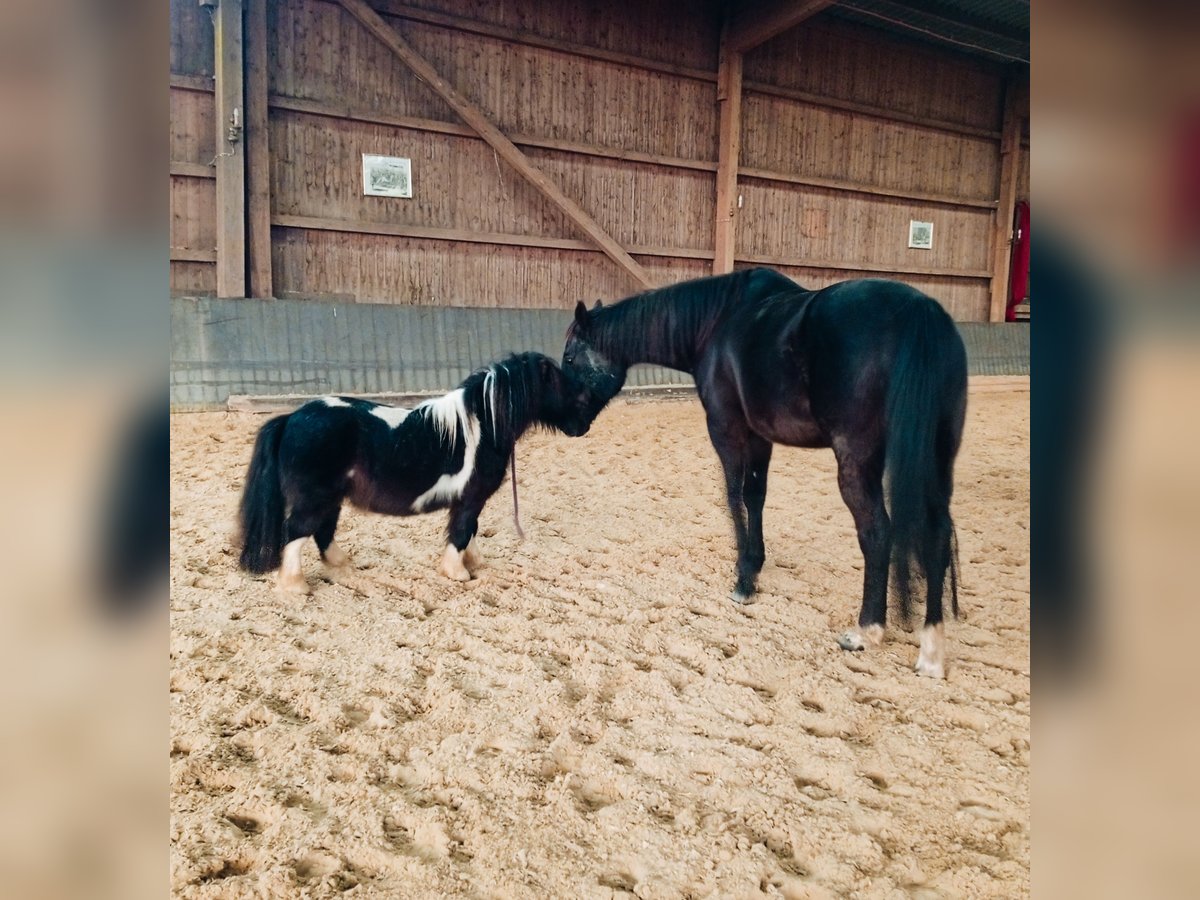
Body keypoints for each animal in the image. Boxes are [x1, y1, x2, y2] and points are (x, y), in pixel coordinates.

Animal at [236, 350, 592, 592]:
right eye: (560, 384)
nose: (583, 425)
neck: (481, 425)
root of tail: (291, 418)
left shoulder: (468, 500)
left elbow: (469, 531)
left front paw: (474, 563)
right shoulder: (471, 498)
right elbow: (462, 531)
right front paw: (458, 573)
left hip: (330, 498)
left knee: (322, 532)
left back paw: (343, 565)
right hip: (314, 498)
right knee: (297, 531)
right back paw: (294, 586)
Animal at [561, 271, 964, 681]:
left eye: (569, 356)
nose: (571, 425)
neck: (716, 322)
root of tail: (918, 310)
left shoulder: (726, 430)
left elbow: (733, 496)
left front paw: (743, 580)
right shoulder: (760, 437)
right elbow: (756, 495)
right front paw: (755, 561)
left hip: (857, 458)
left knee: (877, 532)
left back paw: (867, 629)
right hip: (937, 460)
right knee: (938, 535)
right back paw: (931, 650)